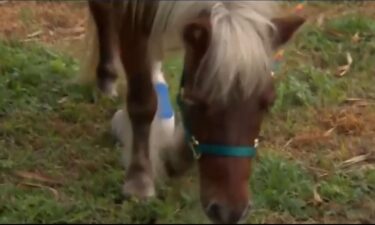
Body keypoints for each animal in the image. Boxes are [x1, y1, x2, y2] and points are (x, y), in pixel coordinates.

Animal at [80, 1, 306, 223]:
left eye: (269, 103)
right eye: (198, 101)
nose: (229, 212)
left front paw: (176, 156)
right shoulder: (132, 17)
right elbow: (142, 101)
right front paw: (139, 181)